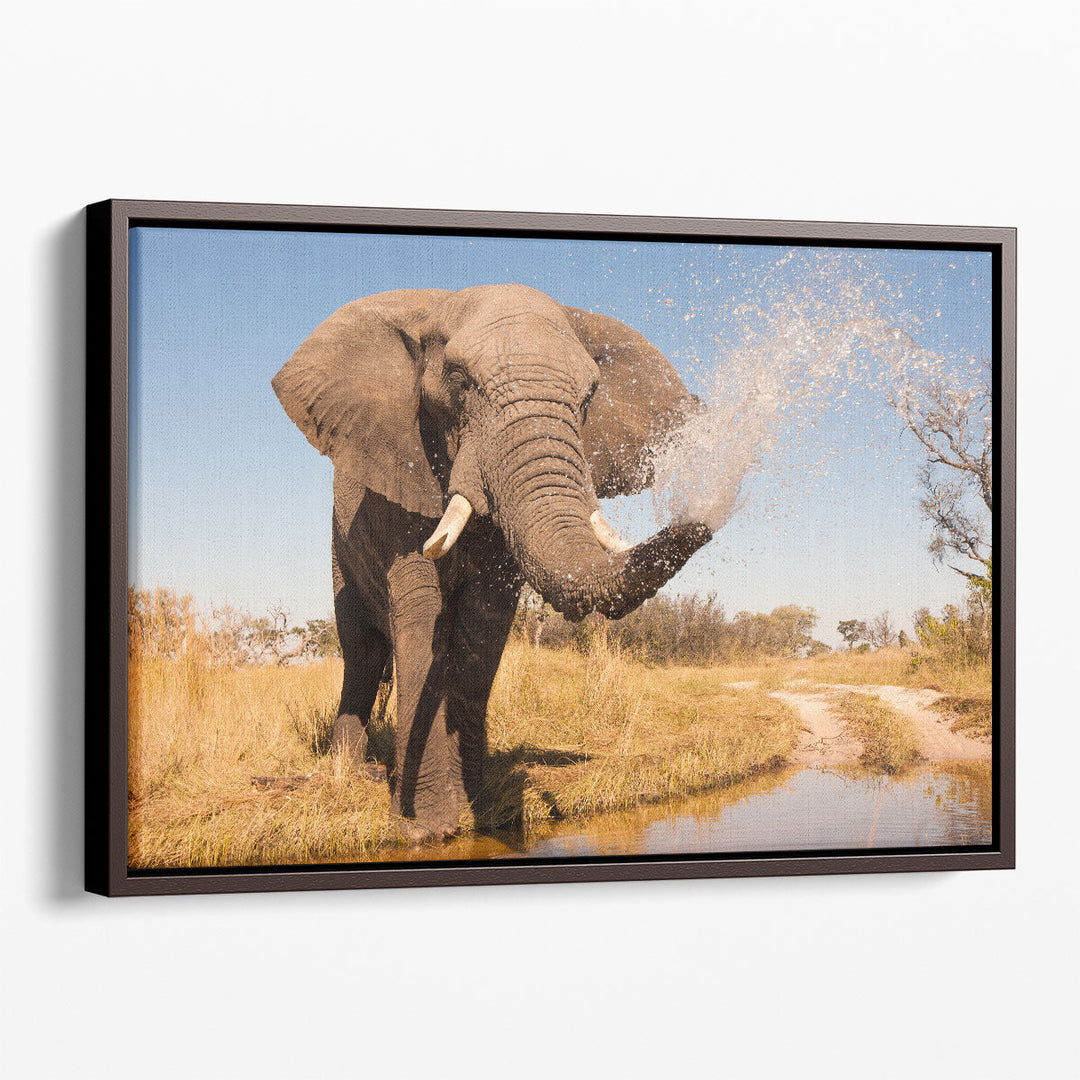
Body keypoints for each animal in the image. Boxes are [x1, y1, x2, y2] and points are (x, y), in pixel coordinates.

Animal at [273, 283, 712, 841]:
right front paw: (425, 828)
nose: (705, 515)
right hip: (339, 548)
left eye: (589, 396)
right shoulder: (400, 474)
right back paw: (347, 772)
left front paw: (476, 804)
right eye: (460, 381)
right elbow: (421, 613)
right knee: (362, 651)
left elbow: (483, 623)